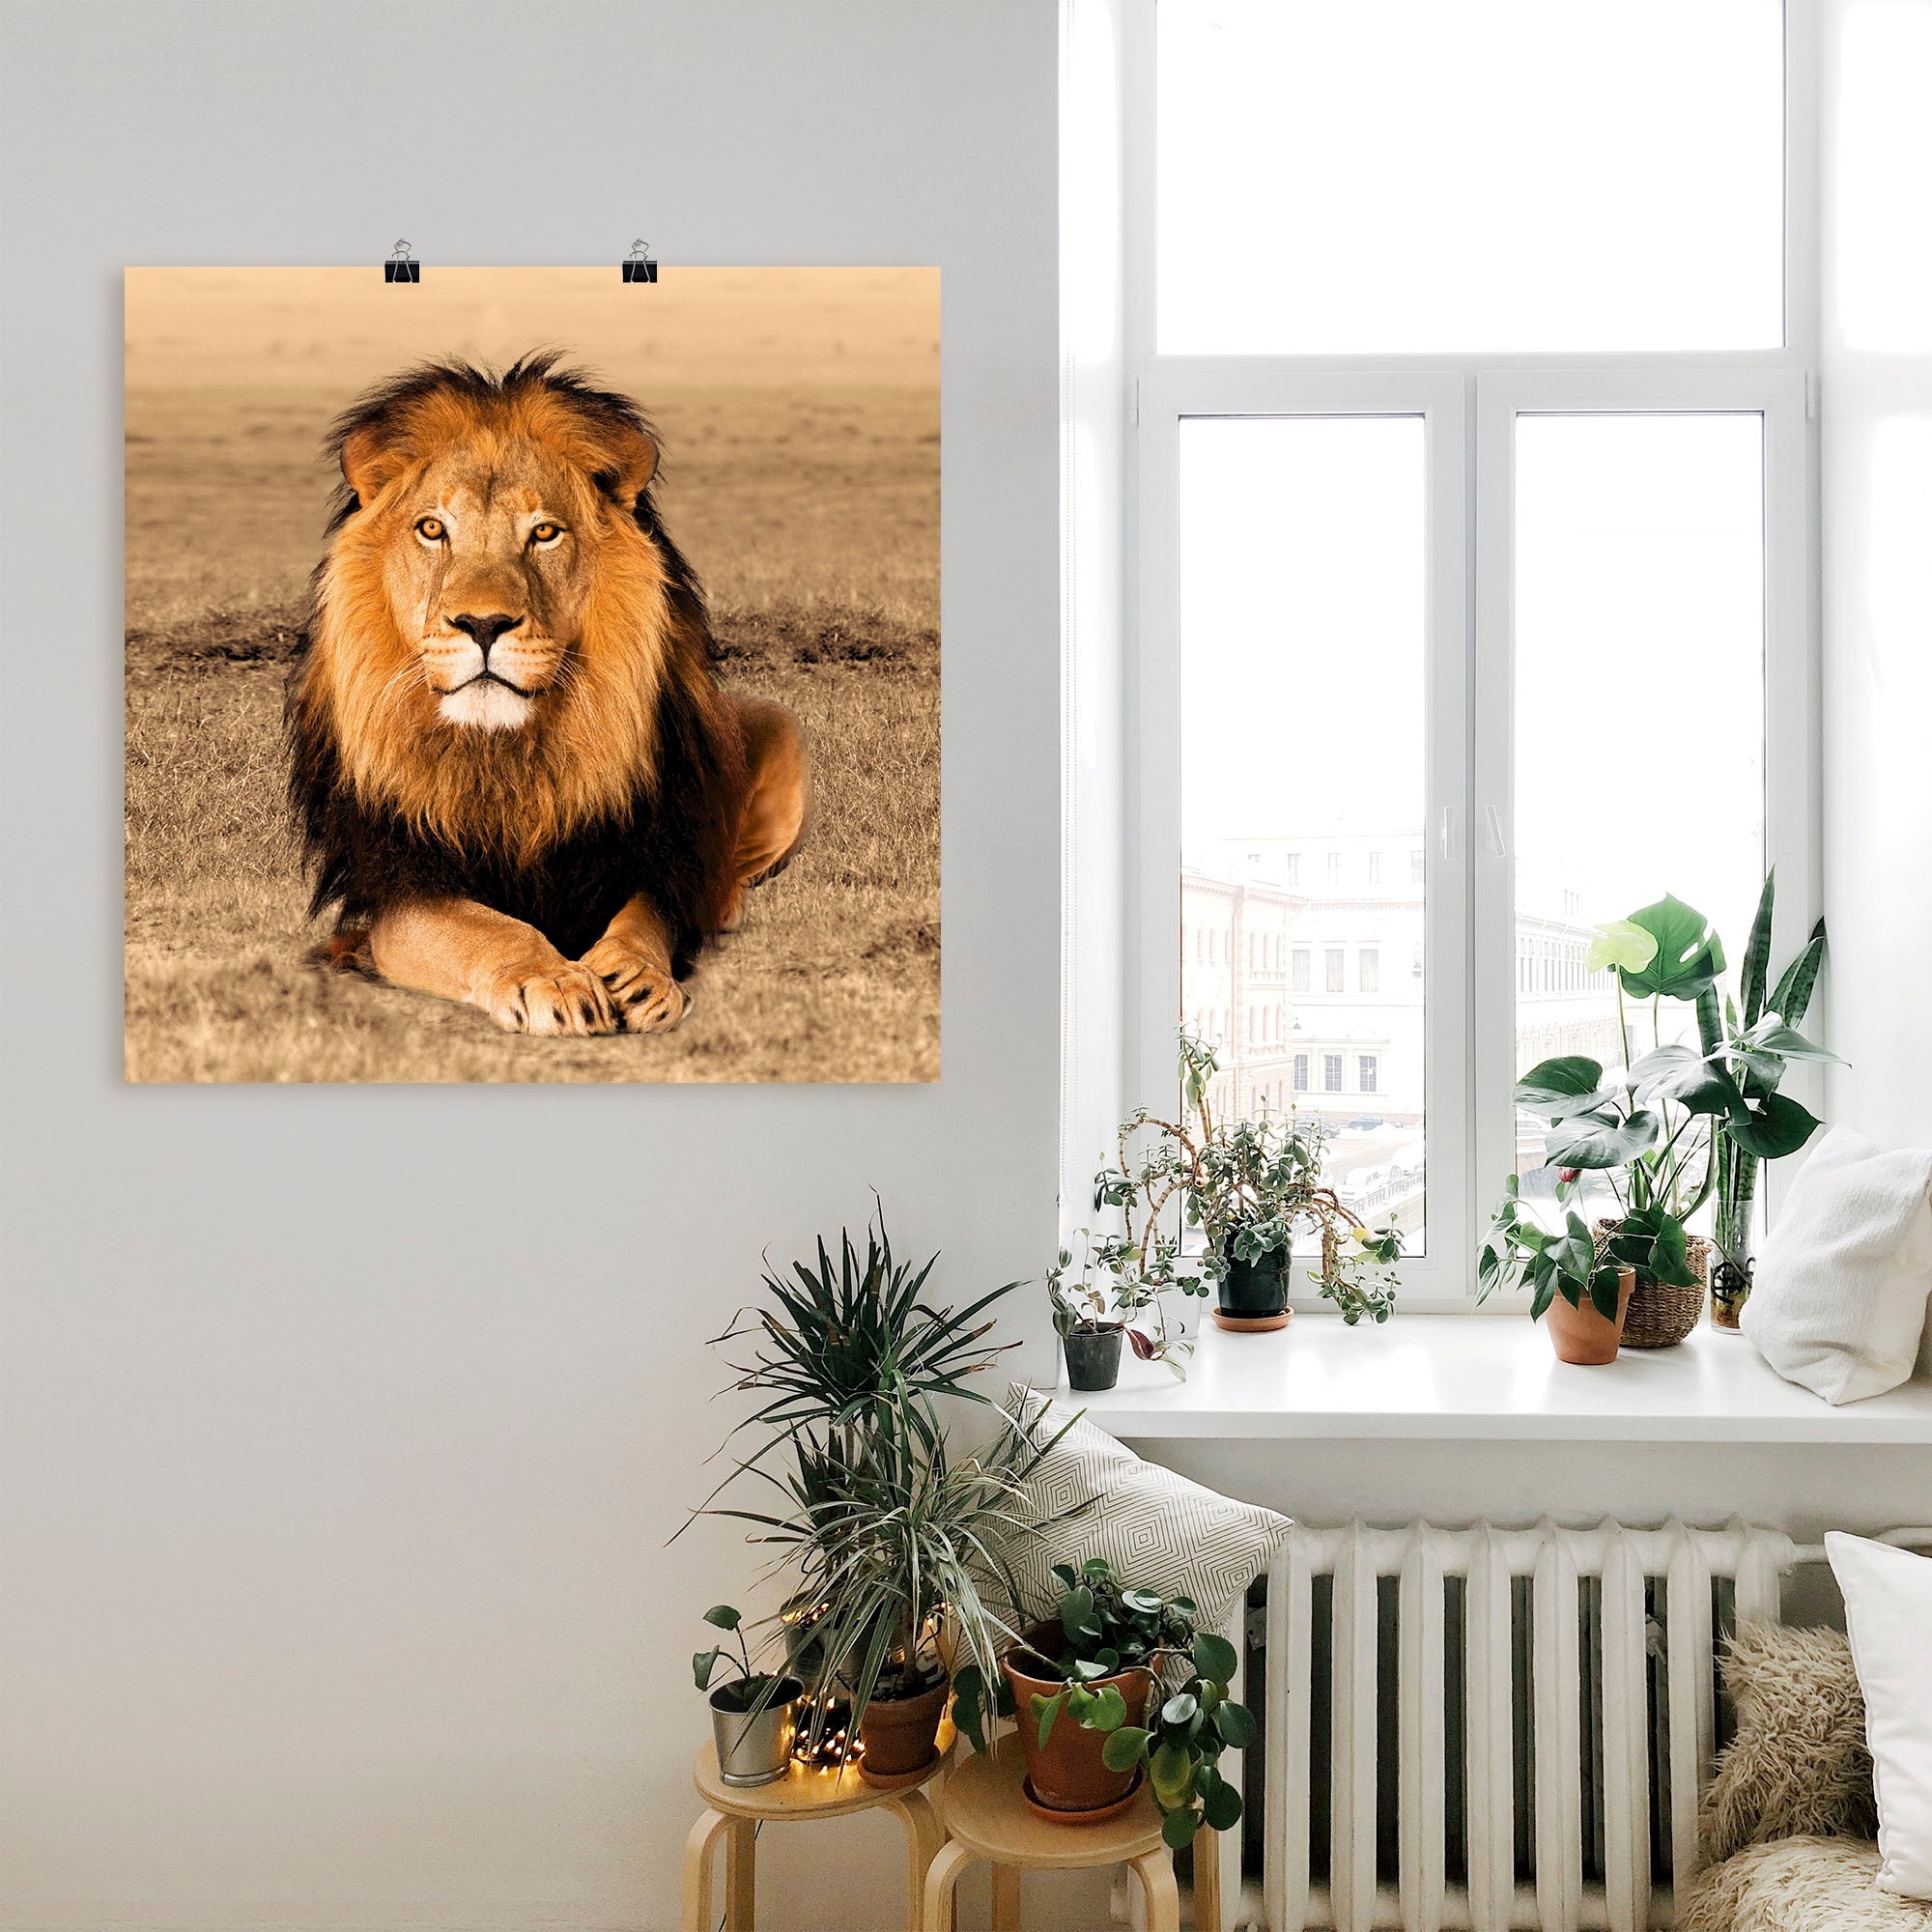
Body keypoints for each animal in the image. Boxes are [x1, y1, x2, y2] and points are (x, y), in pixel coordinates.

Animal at [286, 353, 810, 1036]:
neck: (507, 755)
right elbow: (484, 928)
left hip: (780, 726)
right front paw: (554, 979)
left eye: (544, 533)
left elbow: (645, 919)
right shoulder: (400, 884)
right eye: (432, 529)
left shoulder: (645, 854)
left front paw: (636, 974)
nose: (483, 624)